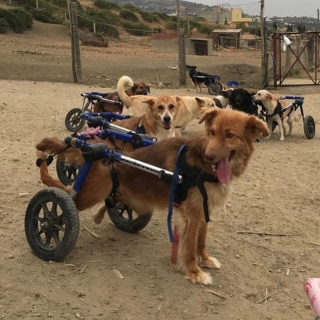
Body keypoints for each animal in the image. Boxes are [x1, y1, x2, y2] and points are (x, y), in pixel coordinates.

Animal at [35, 108, 268, 284]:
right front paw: (194, 271)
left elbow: (201, 240)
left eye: (229, 135)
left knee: (112, 201)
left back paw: (100, 215)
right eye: (211, 132)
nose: (209, 155)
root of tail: (96, 148)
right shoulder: (191, 213)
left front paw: (205, 259)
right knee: (65, 196)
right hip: (90, 193)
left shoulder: (204, 208)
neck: (201, 167)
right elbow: (190, 246)